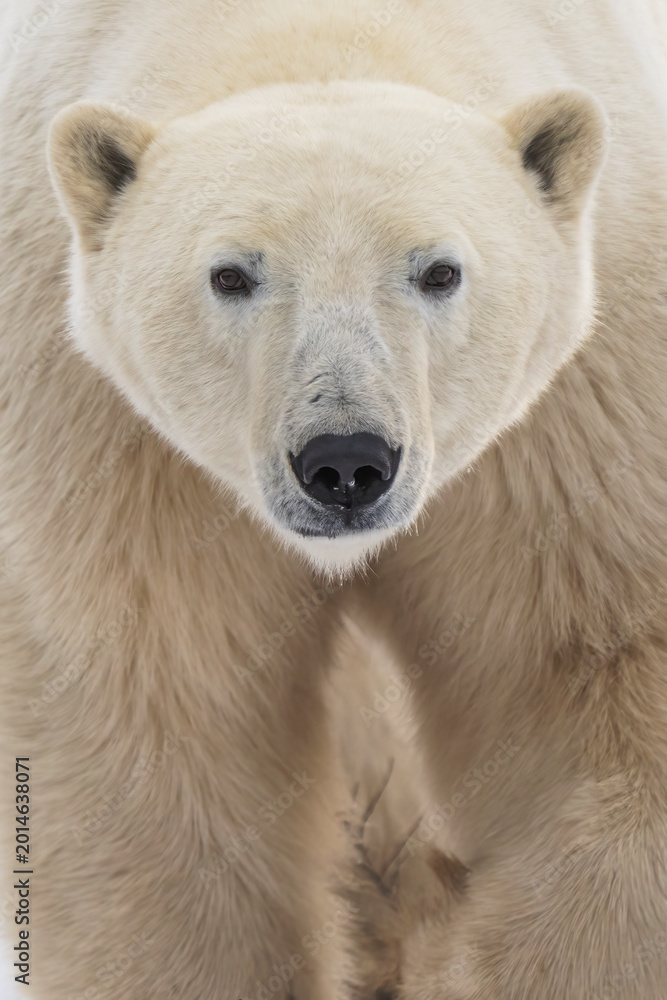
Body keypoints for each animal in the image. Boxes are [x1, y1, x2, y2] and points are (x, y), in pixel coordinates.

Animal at [1, 0, 667, 998]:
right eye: (231, 274)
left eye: (438, 271)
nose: (345, 462)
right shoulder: (103, 426)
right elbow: (151, 700)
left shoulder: (579, 407)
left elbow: (591, 657)